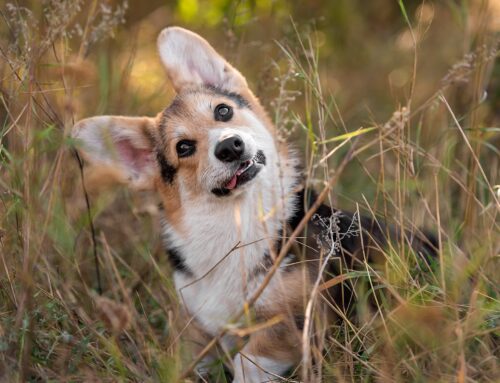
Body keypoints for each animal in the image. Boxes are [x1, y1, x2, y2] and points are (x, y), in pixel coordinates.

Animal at [72, 25, 436, 382]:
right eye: (184, 147)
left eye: (223, 111)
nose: (229, 146)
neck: (237, 221)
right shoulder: (194, 330)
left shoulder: (286, 326)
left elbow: (247, 364)